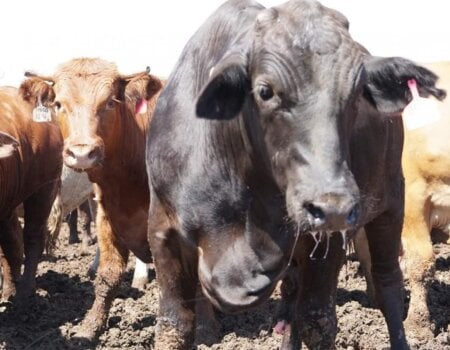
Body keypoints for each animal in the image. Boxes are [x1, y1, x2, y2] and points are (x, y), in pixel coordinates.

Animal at [22, 58, 163, 340]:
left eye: (110, 102)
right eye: (58, 104)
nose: (82, 153)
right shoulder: (108, 212)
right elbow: (108, 275)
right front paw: (89, 328)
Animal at [146, 1, 444, 348]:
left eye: (357, 91)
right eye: (264, 91)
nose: (332, 205)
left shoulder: (330, 235)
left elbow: (318, 320)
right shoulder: (163, 233)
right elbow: (174, 325)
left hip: (392, 205)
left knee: (388, 286)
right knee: (292, 297)